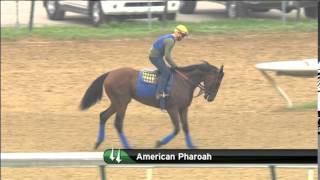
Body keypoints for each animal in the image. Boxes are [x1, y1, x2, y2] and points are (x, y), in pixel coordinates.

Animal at [79, 61, 225, 149]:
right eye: (218, 82)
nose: (210, 98)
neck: (184, 81)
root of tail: (110, 74)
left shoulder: (183, 108)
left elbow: (186, 127)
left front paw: (192, 146)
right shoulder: (172, 108)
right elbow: (177, 128)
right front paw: (159, 143)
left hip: (117, 103)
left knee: (103, 116)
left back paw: (98, 142)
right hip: (121, 103)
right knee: (118, 123)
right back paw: (128, 146)